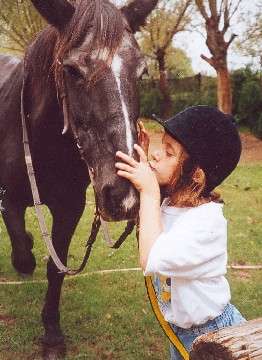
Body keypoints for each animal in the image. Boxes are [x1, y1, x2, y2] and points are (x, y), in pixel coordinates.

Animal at [0, 0, 158, 354]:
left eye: (142, 72)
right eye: (72, 70)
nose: (124, 194)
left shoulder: (69, 208)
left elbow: (55, 268)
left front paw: (52, 332)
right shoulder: (8, 199)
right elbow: (22, 253)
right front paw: (24, 254)